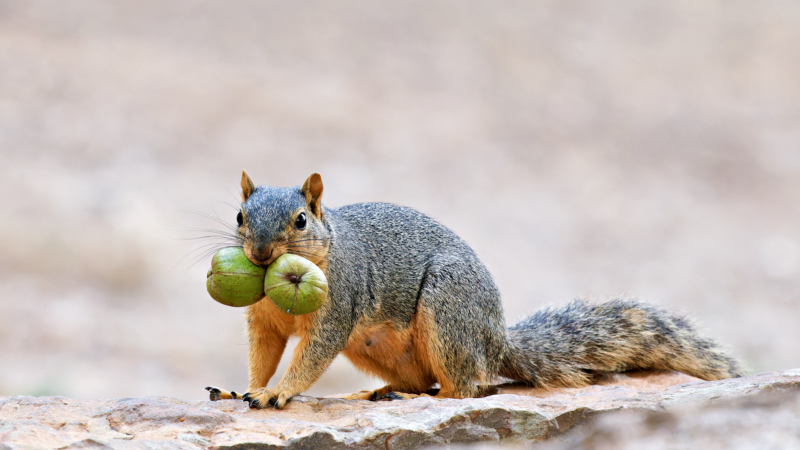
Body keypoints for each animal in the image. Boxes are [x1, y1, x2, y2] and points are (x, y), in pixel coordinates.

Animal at [205, 171, 744, 410]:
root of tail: (496, 341)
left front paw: (279, 393)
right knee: (424, 381)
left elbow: (311, 355)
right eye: (240, 216)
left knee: (467, 387)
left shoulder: (340, 305)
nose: (260, 253)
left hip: (447, 308)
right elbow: (263, 354)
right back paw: (377, 392)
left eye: (300, 220)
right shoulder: (263, 321)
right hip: (379, 347)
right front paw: (244, 387)